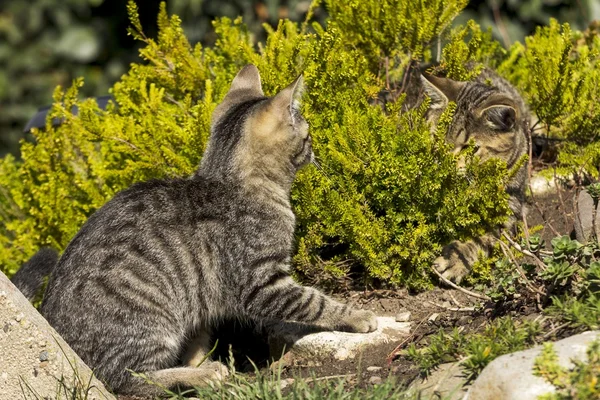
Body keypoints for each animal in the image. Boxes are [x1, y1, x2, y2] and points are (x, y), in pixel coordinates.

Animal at [414, 68, 528, 282]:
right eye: (436, 138)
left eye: (468, 148)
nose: (443, 164)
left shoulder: (510, 204)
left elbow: (483, 234)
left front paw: (457, 258)